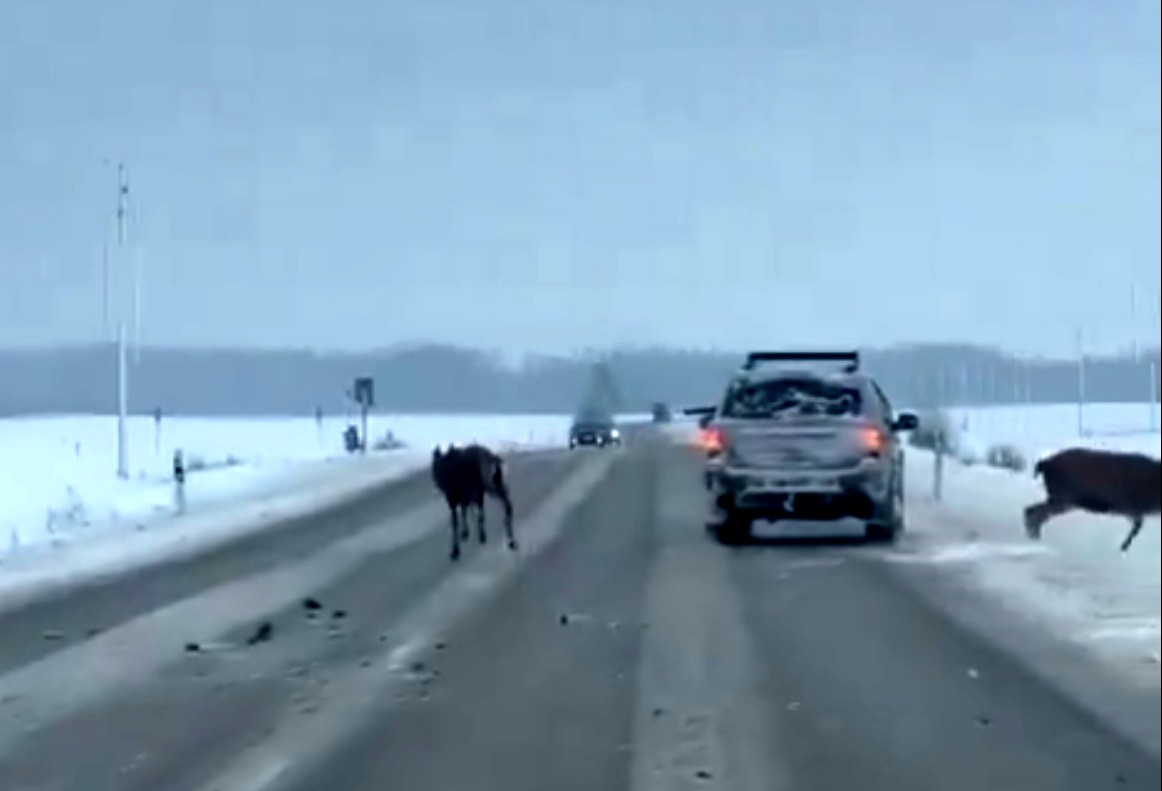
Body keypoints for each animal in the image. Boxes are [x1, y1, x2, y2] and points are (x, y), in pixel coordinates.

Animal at [1022, 448, 1157, 552]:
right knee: (1033, 512)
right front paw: (1123, 547)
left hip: (1062, 499)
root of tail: (1044, 464)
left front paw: (1123, 547)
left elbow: (1137, 526)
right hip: (1064, 498)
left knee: (1033, 511)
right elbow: (1137, 526)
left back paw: (1034, 536)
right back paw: (1034, 537)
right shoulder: (1128, 506)